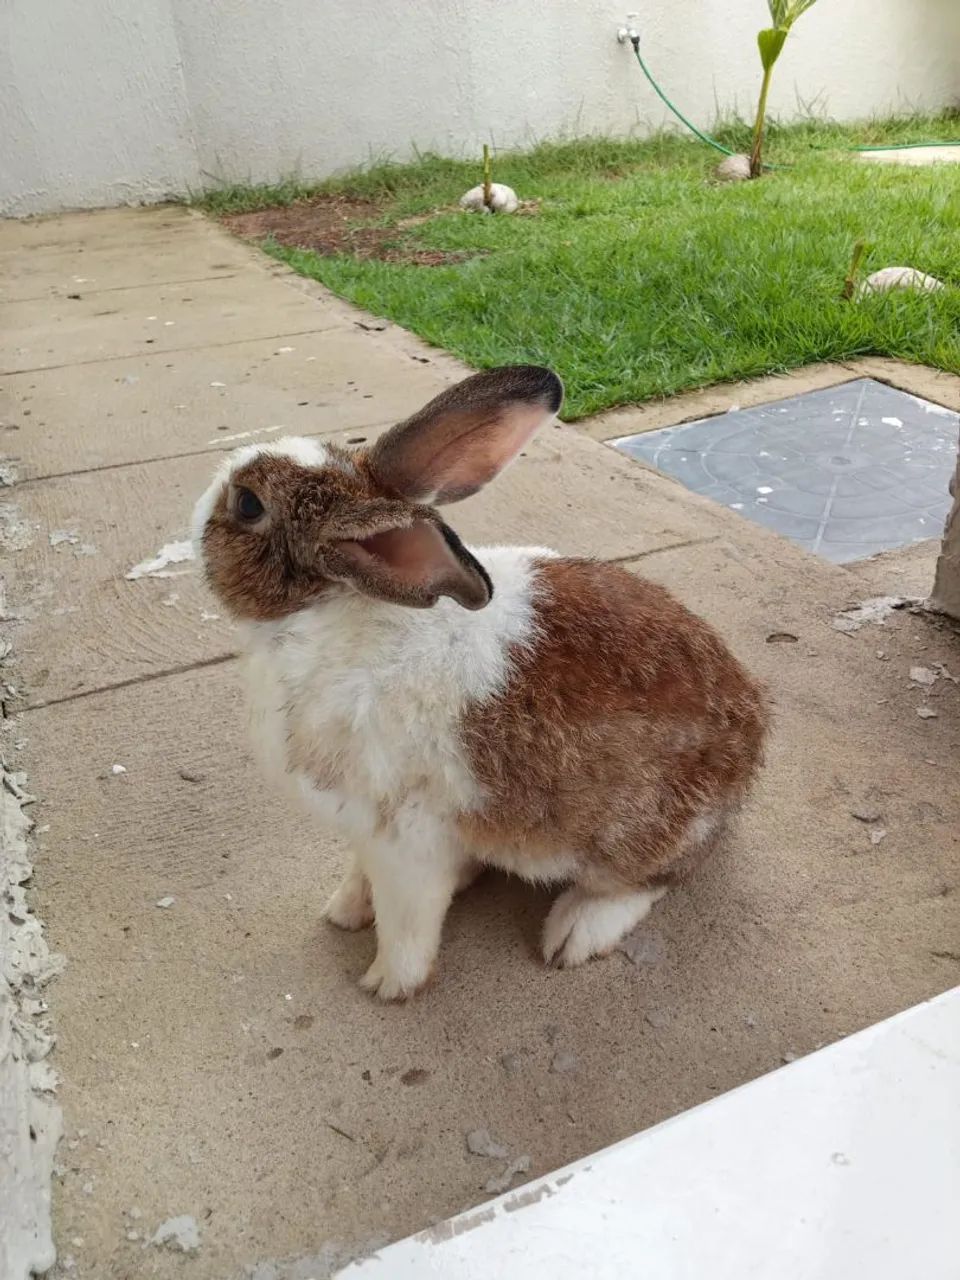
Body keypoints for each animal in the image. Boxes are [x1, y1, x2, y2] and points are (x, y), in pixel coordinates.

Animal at [192, 365, 769, 1000]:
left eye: (248, 504)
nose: (199, 505)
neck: (338, 605)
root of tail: (753, 732)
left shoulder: (407, 843)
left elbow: (408, 923)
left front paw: (387, 984)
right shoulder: (367, 830)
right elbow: (362, 876)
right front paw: (343, 911)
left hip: (639, 834)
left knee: (647, 881)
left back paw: (574, 932)